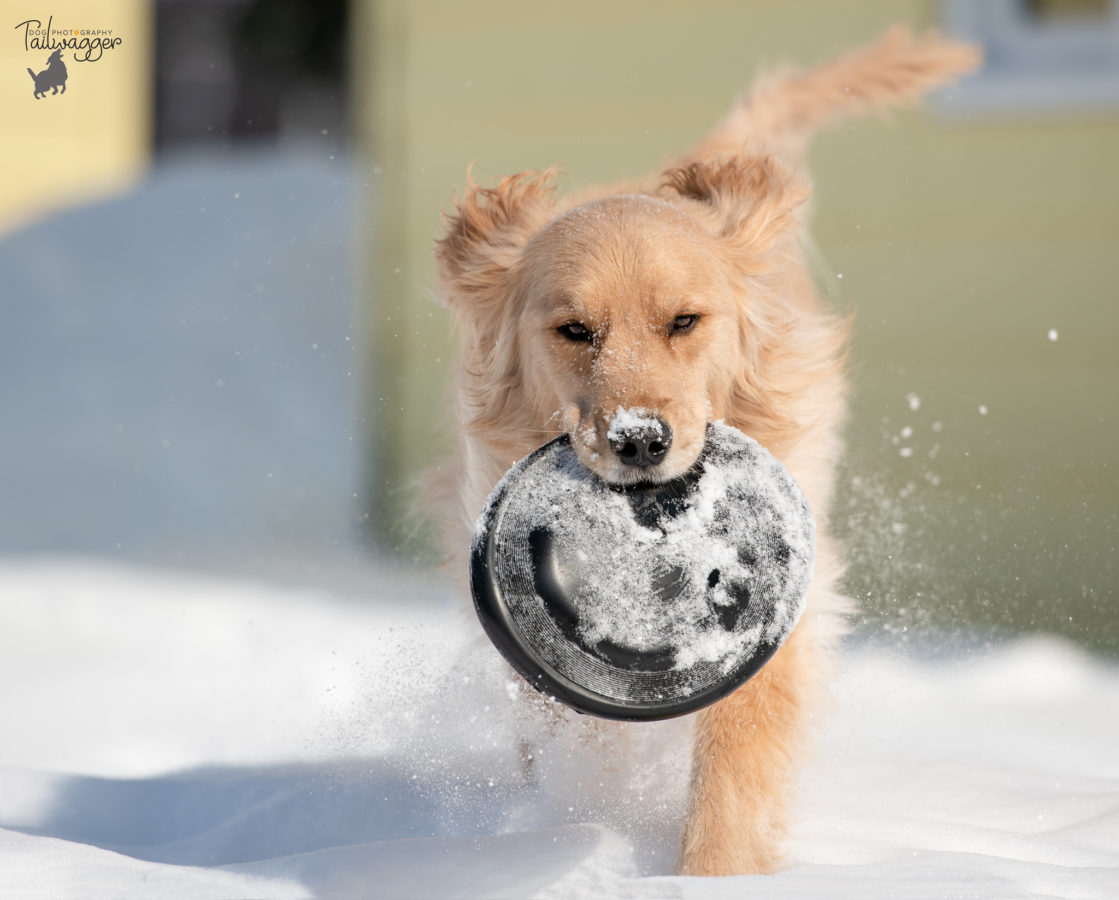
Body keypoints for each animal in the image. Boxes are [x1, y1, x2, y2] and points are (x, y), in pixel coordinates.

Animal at [431, 29, 975, 877]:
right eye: (574, 330)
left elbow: (738, 745)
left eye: (683, 321)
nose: (638, 439)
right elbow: (582, 725)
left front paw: (712, 872)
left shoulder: (780, 598)